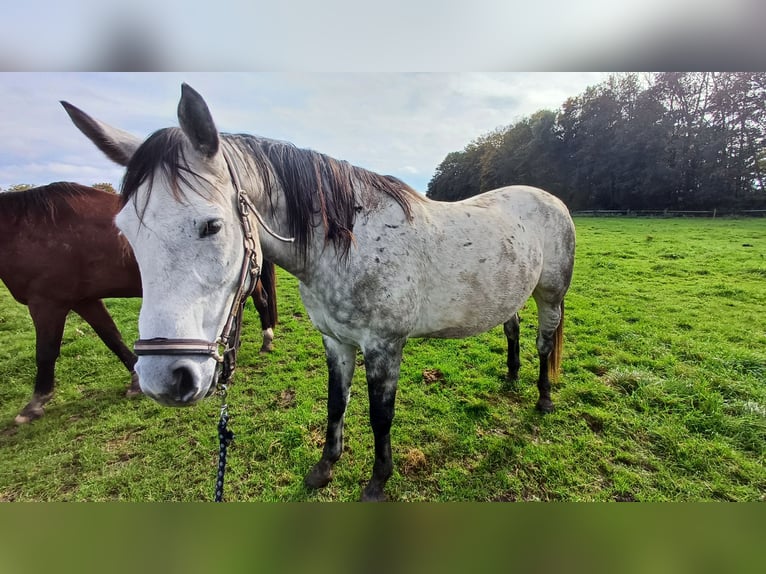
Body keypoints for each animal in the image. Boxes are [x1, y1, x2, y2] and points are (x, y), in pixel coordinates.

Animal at [1, 182, 278, 426]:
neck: (27, 228)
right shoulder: (84, 300)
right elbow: (111, 336)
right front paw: (135, 379)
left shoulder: (47, 302)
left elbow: (45, 352)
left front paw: (34, 404)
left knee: (260, 301)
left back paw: (263, 341)